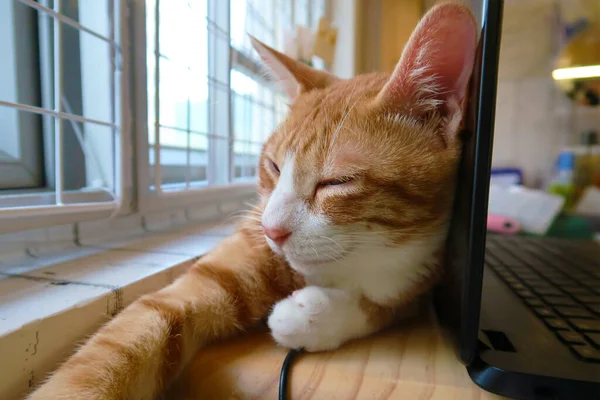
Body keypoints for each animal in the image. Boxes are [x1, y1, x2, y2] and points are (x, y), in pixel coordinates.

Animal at [28, 1, 478, 398]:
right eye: (274, 166)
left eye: (336, 182)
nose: (271, 230)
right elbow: (118, 346)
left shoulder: (421, 277)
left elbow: (383, 305)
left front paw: (312, 315)